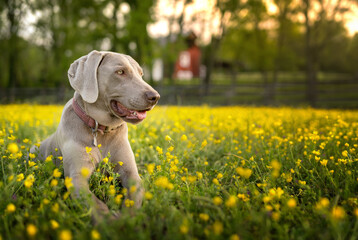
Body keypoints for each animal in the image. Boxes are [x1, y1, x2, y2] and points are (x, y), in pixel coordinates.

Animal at [30, 50, 159, 221]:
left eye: (141, 74)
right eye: (120, 72)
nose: (155, 97)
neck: (101, 131)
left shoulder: (131, 174)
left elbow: (134, 198)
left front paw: (128, 217)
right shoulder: (77, 177)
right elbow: (95, 205)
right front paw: (111, 222)